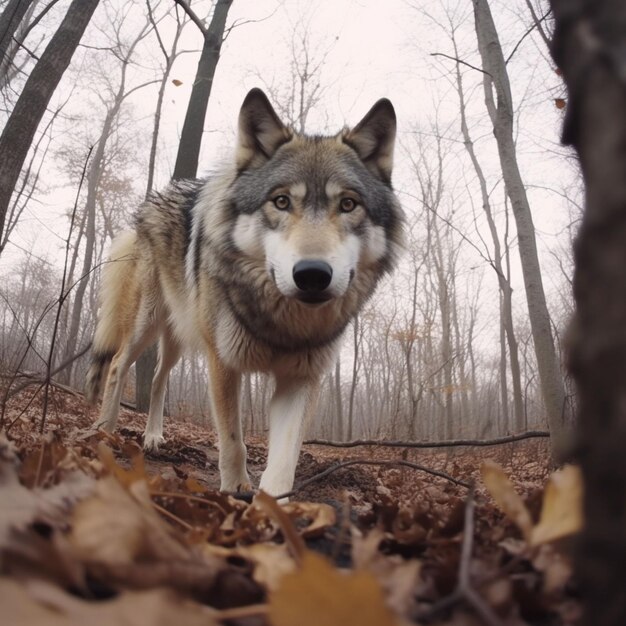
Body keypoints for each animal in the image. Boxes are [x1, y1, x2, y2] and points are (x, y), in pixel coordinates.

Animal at [85, 89, 402, 498]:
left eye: (348, 204)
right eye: (281, 201)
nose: (312, 275)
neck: (282, 323)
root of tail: (151, 202)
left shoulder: (301, 379)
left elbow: (284, 463)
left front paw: (275, 507)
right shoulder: (223, 362)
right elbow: (233, 441)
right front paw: (235, 490)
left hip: (178, 339)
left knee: (157, 379)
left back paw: (153, 437)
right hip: (146, 326)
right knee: (117, 366)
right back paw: (104, 433)